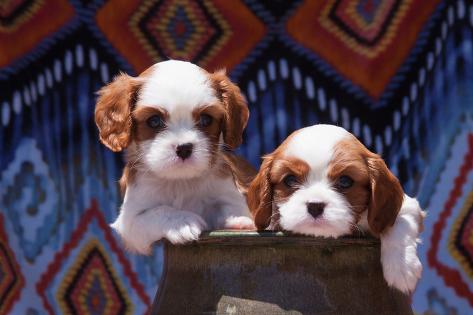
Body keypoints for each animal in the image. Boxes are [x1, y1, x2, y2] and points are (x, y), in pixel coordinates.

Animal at [96, 60, 256, 256]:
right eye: (154, 121)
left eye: (206, 119)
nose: (184, 148)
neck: (180, 180)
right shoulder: (130, 222)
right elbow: (157, 211)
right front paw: (181, 223)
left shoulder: (227, 192)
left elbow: (227, 207)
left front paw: (238, 221)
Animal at [247, 124, 424, 296]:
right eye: (289, 180)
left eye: (345, 181)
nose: (315, 205)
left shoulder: (409, 205)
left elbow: (400, 223)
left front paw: (402, 266)